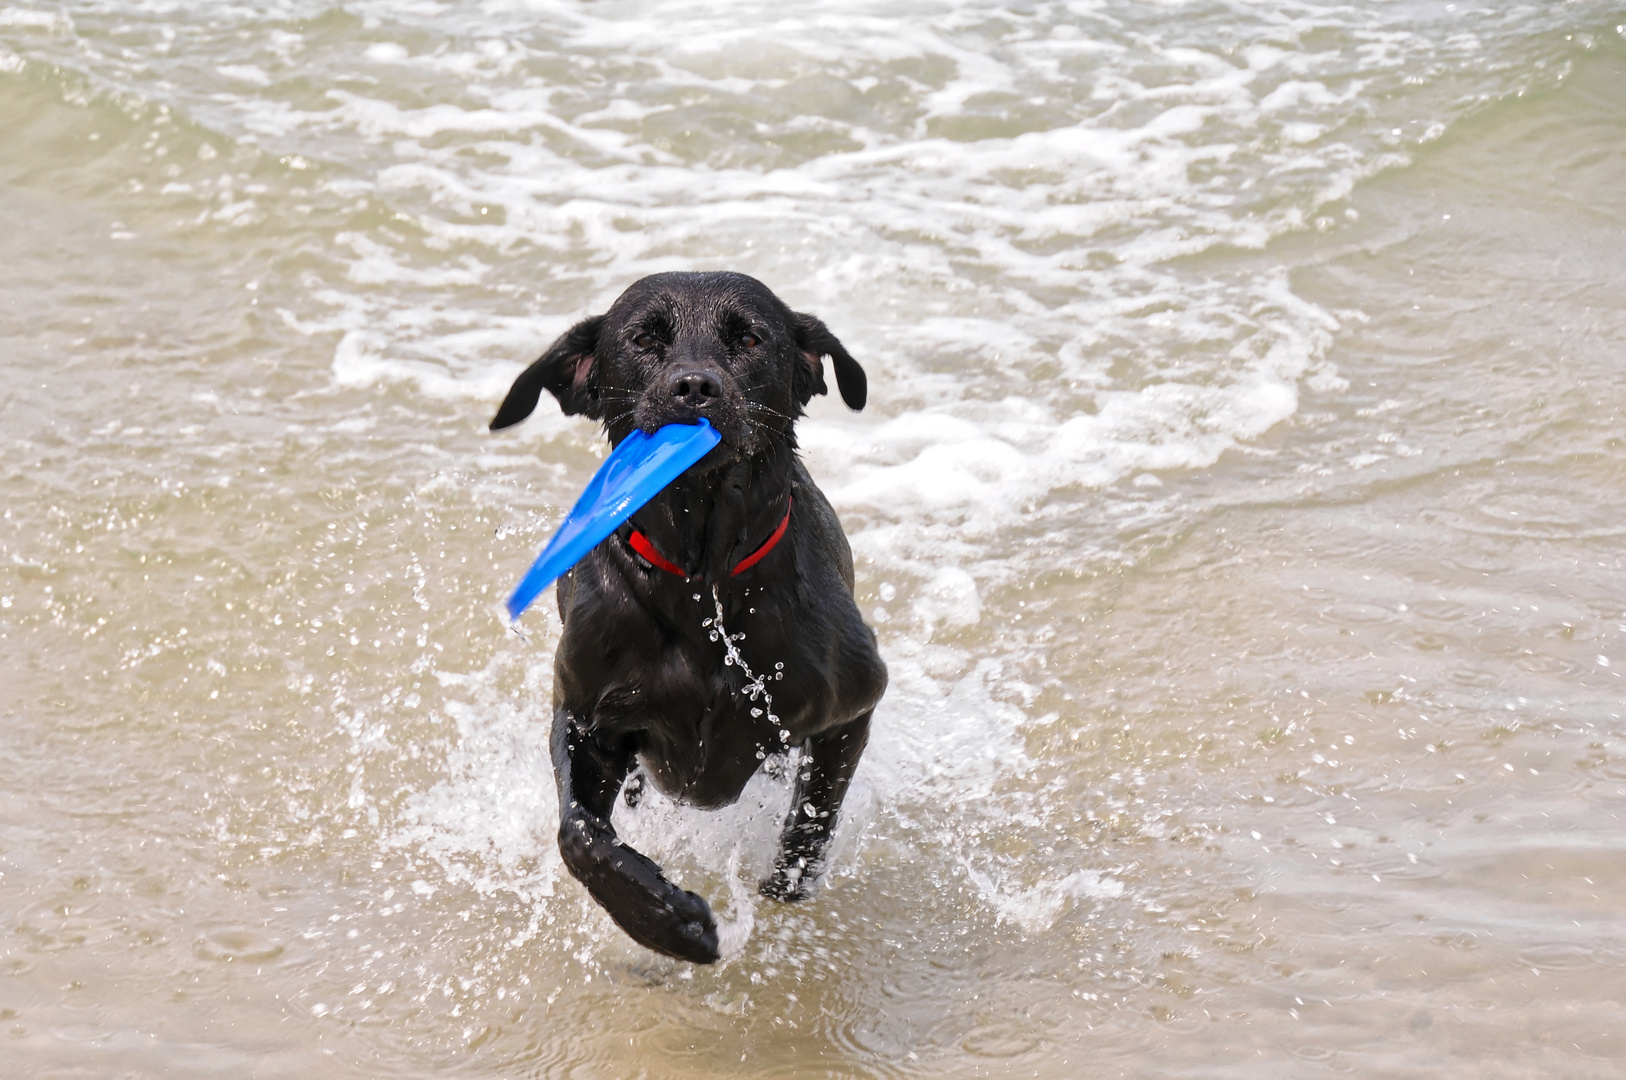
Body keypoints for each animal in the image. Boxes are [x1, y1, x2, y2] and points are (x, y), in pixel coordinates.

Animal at [487, 274, 891, 962]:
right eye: (644, 339)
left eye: (750, 338)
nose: (695, 387)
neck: (703, 585)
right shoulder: (586, 716)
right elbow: (580, 836)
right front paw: (673, 924)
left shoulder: (851, 708)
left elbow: (807, 835)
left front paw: (776, 900)